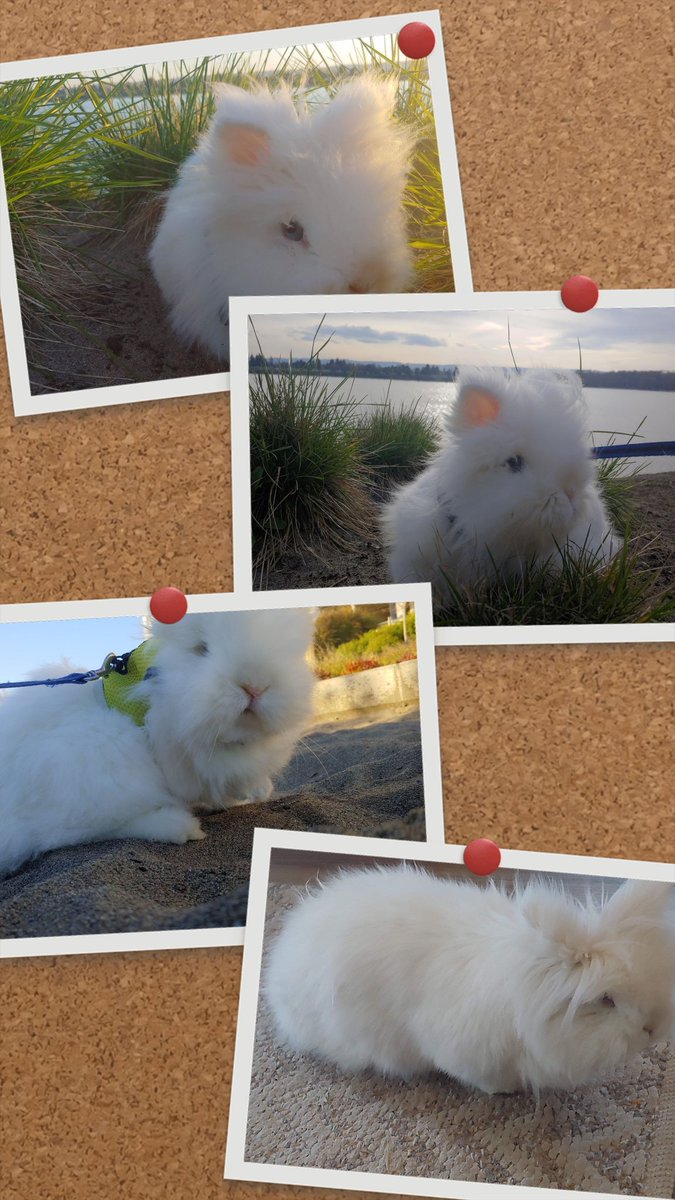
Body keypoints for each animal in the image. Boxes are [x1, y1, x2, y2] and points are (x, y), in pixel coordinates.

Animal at [0, 609, 315, 877]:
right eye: (202, 648)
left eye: (287, 651)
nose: (254, 686)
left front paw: (257, 791)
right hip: (95, 761)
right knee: (70, 831)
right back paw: (180, 827)